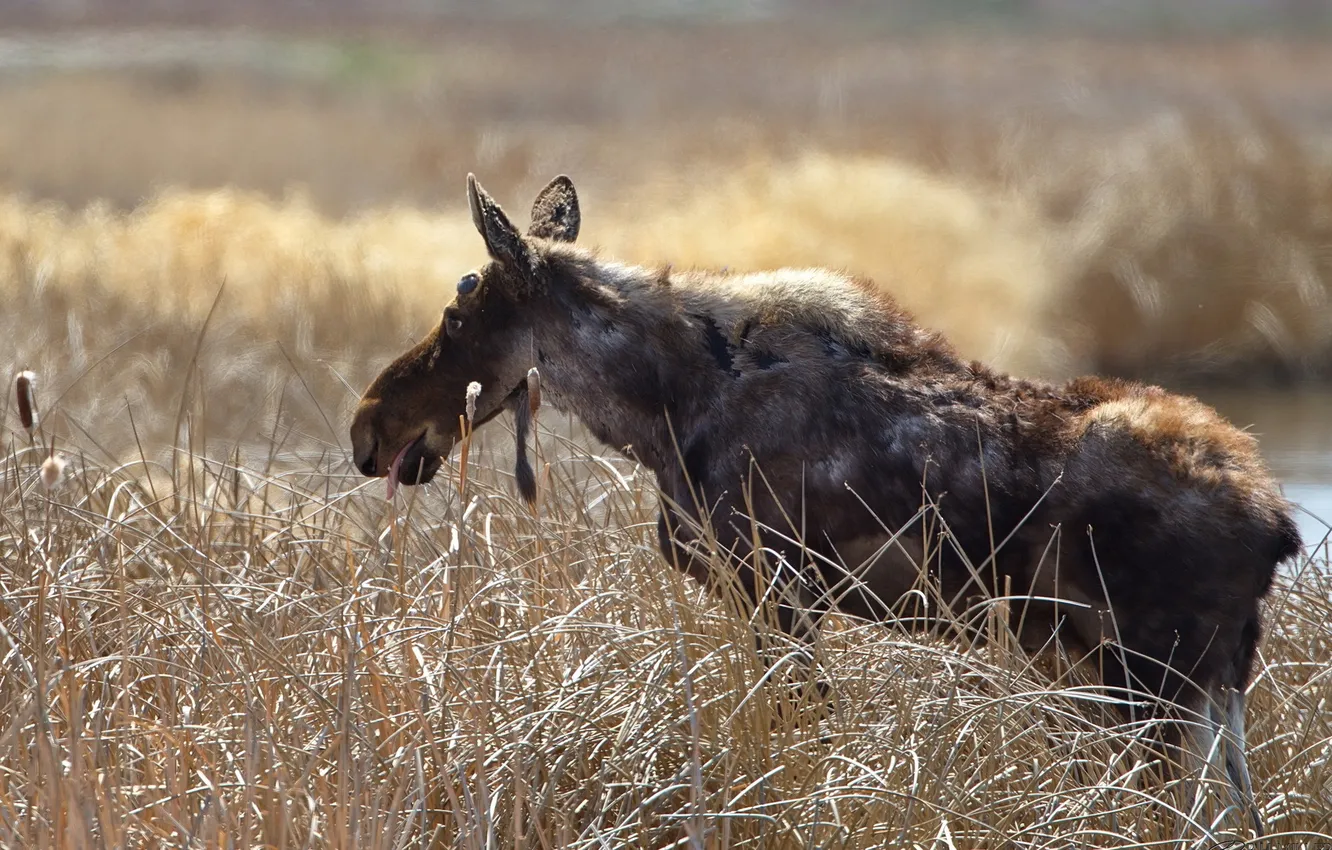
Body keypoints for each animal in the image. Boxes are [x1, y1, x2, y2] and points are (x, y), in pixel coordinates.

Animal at [351, 171, 1300, 831]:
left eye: (456, 315)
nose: (369, 426)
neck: (663, 409)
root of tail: (1277, 524)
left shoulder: (778, 591)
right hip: (1204, 691)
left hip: (1154, 686)